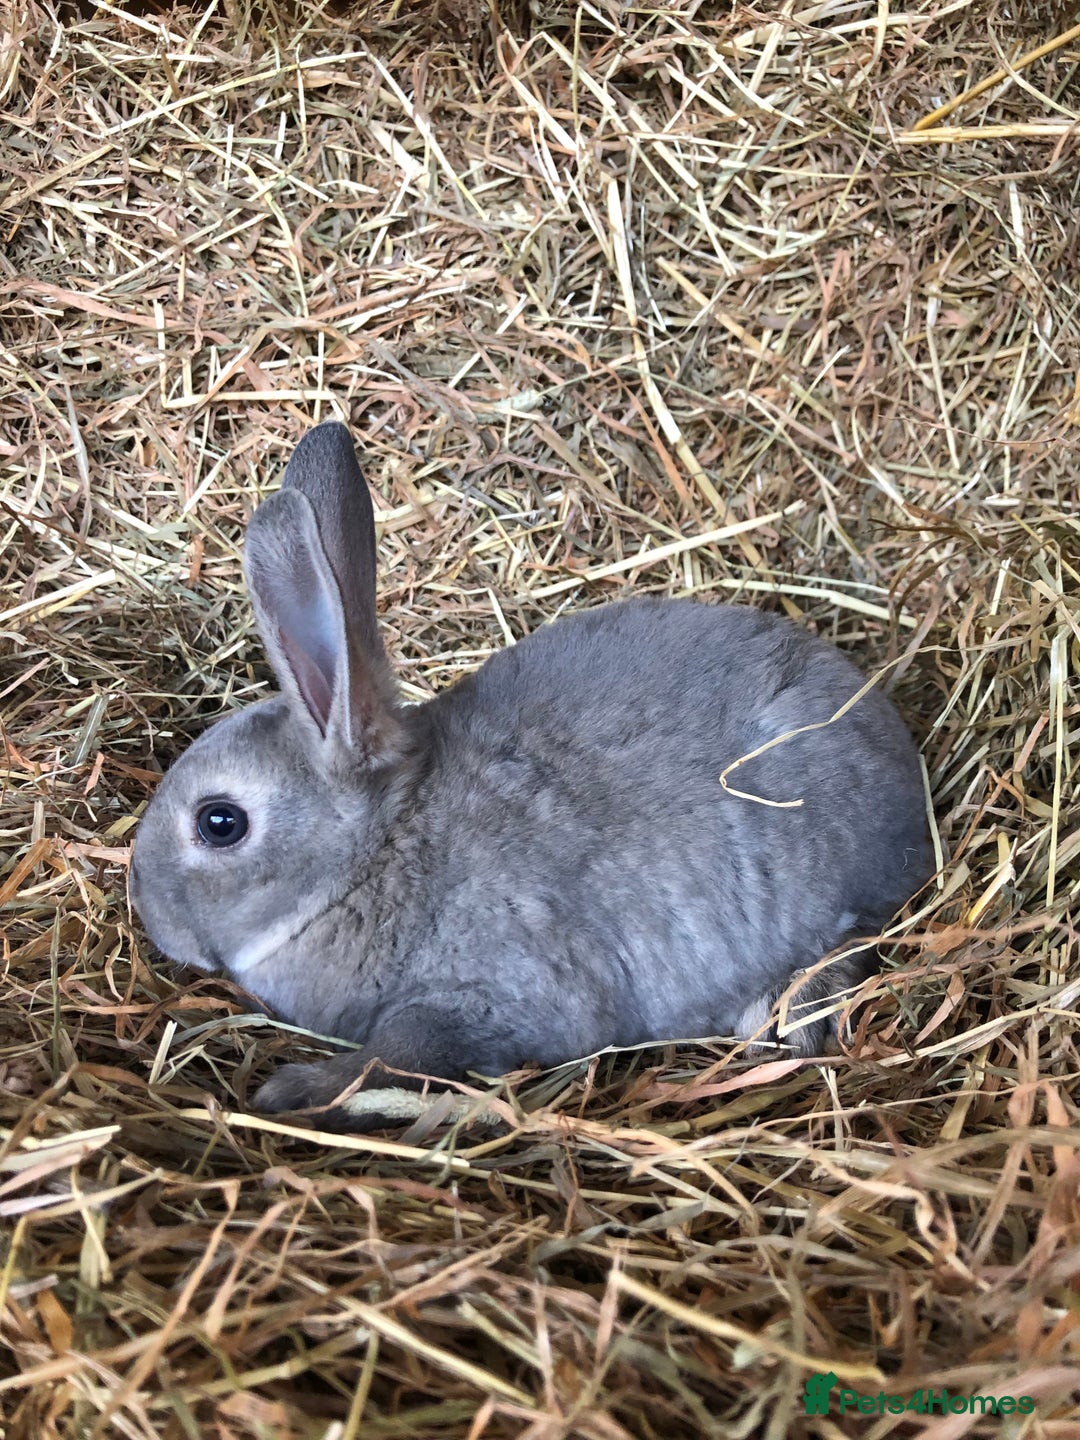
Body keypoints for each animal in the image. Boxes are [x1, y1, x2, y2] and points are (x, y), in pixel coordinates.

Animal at [130, 421, 933, 1118]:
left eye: (220, 823)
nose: (154, 922)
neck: (375, 853)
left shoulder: (484, 993)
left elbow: (395, 1054)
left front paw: (290, 1091)